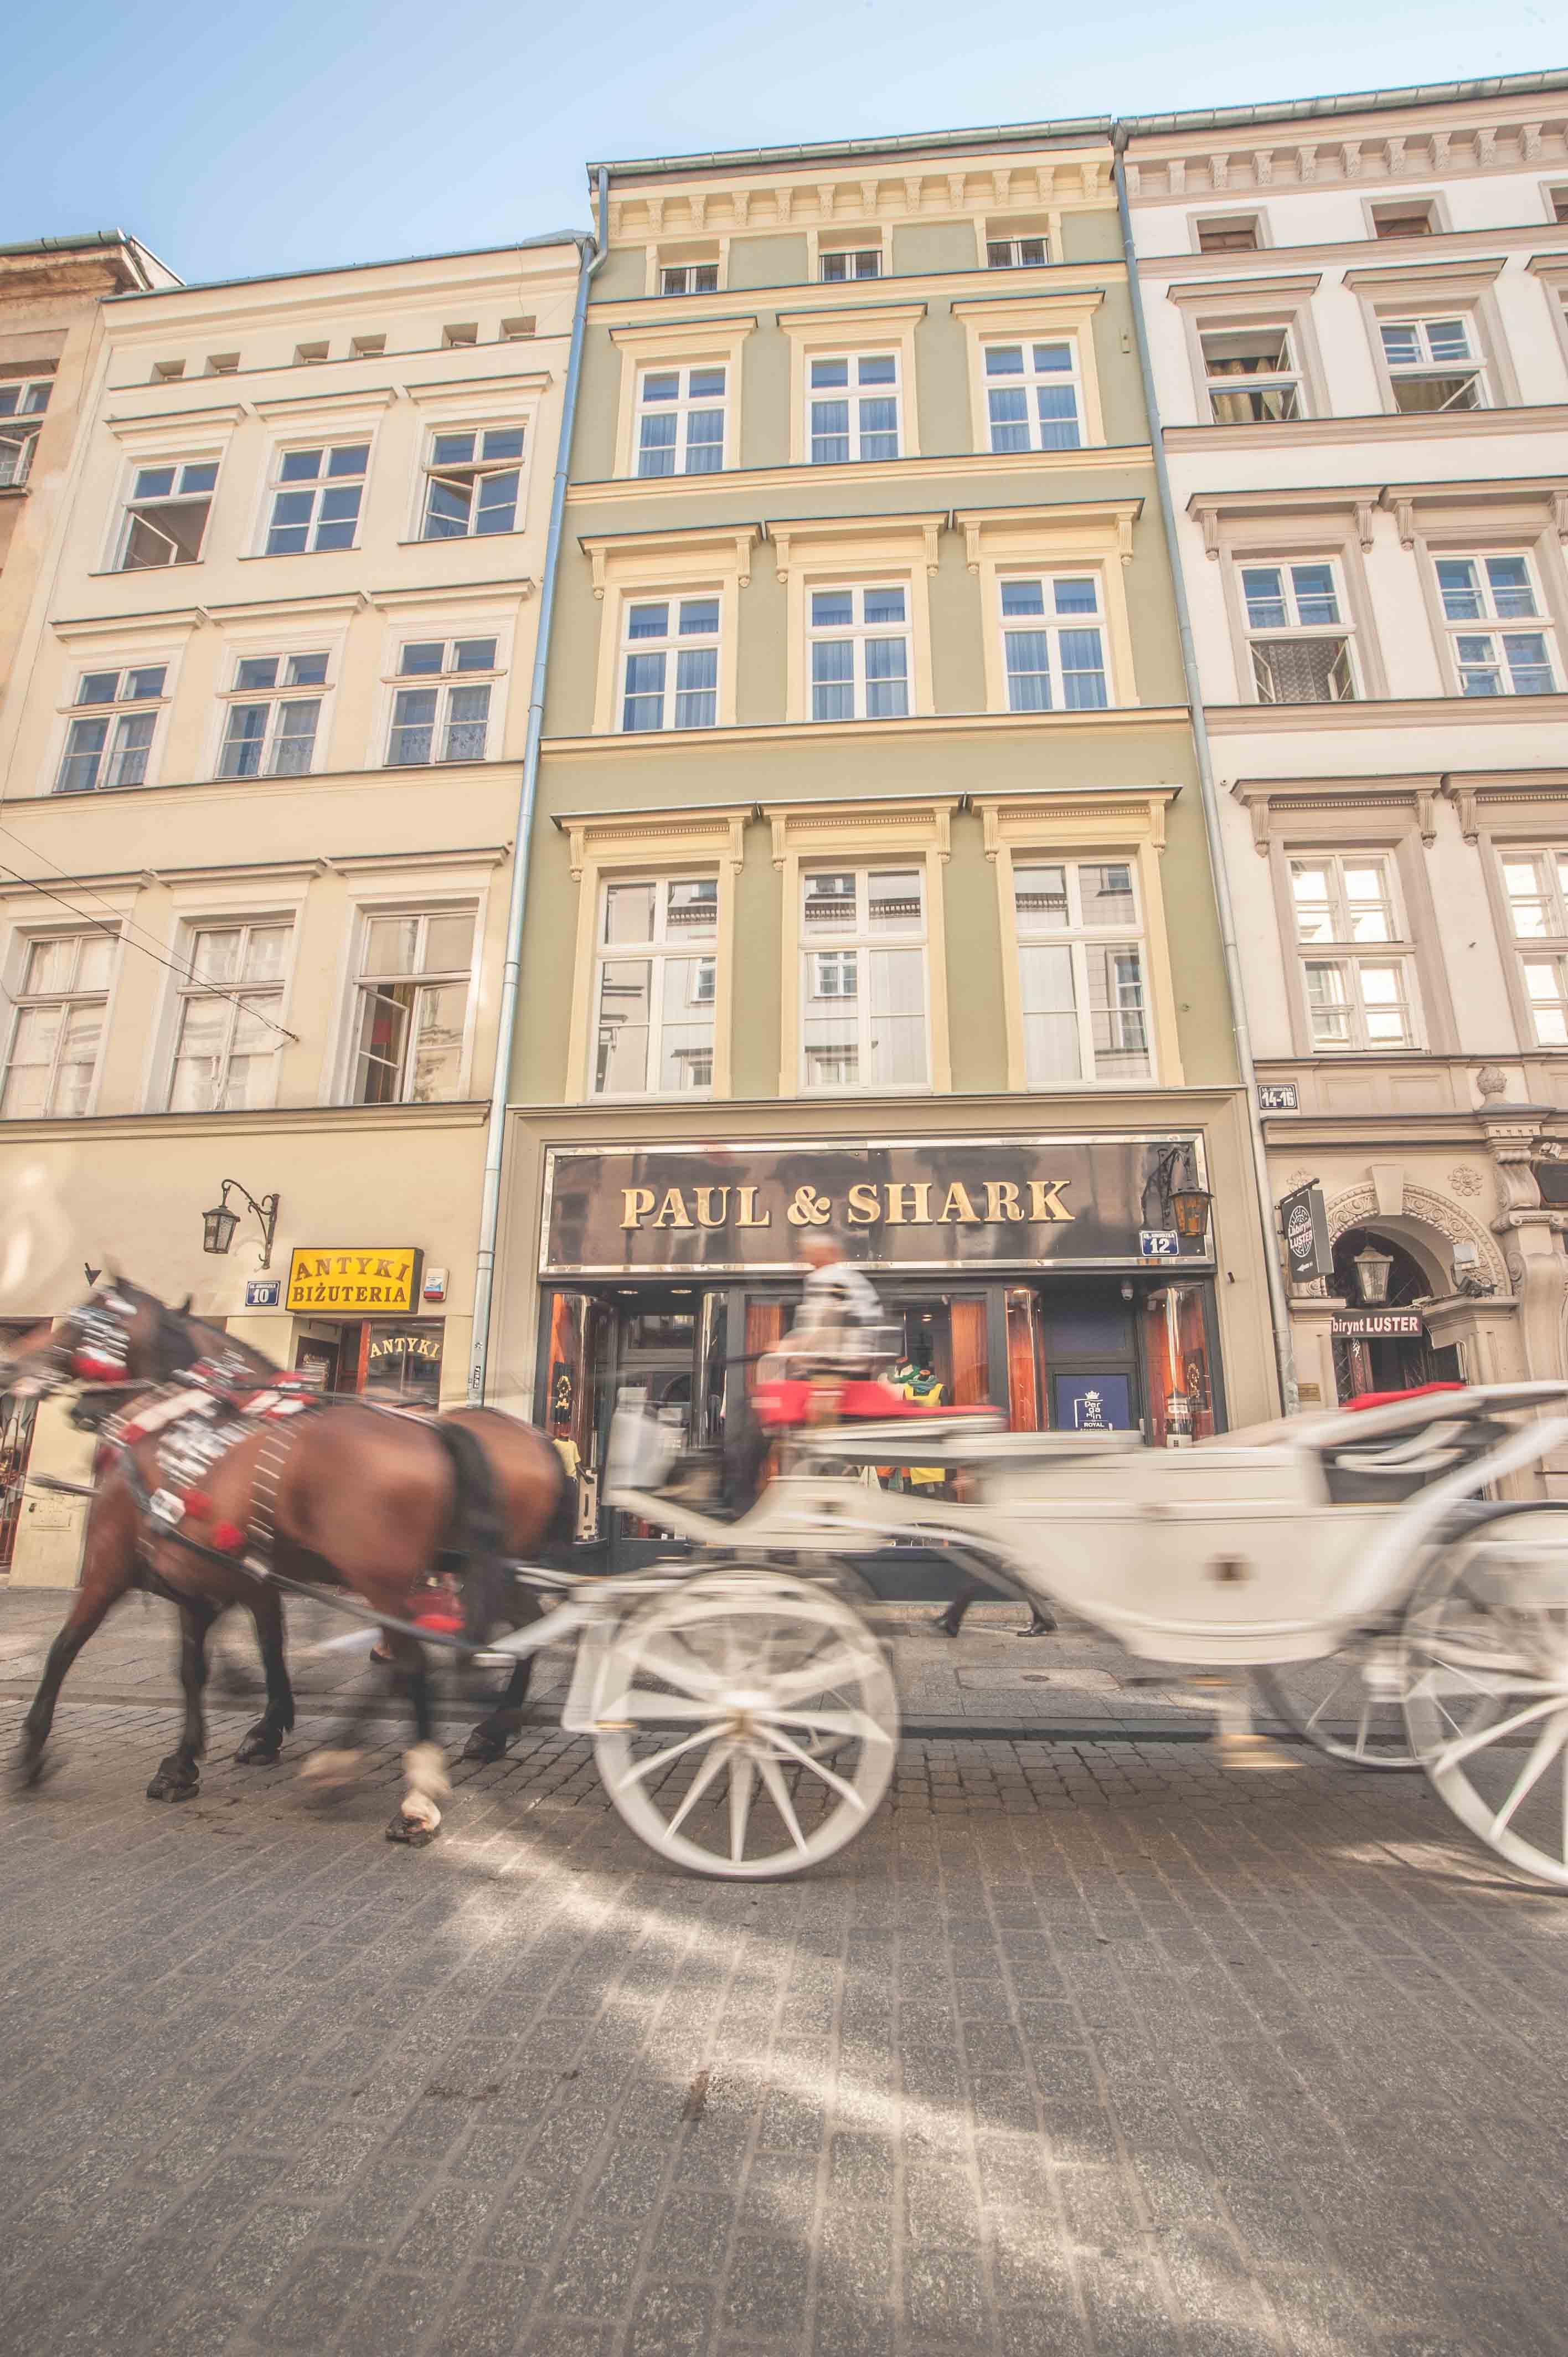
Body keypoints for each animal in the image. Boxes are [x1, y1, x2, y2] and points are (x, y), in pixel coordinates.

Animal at [0, 1291, 563, 1838]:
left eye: (81, 1321)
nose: (17, 1366)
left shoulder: (117, 1565)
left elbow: (67, 1647)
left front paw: (32, 1751)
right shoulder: (228, 1579)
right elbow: (235, 1653)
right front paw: (227, 1742)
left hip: (393, 1574)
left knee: (420, 1657)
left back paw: (398, 1781)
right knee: (508, 1631)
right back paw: (482, 1733)